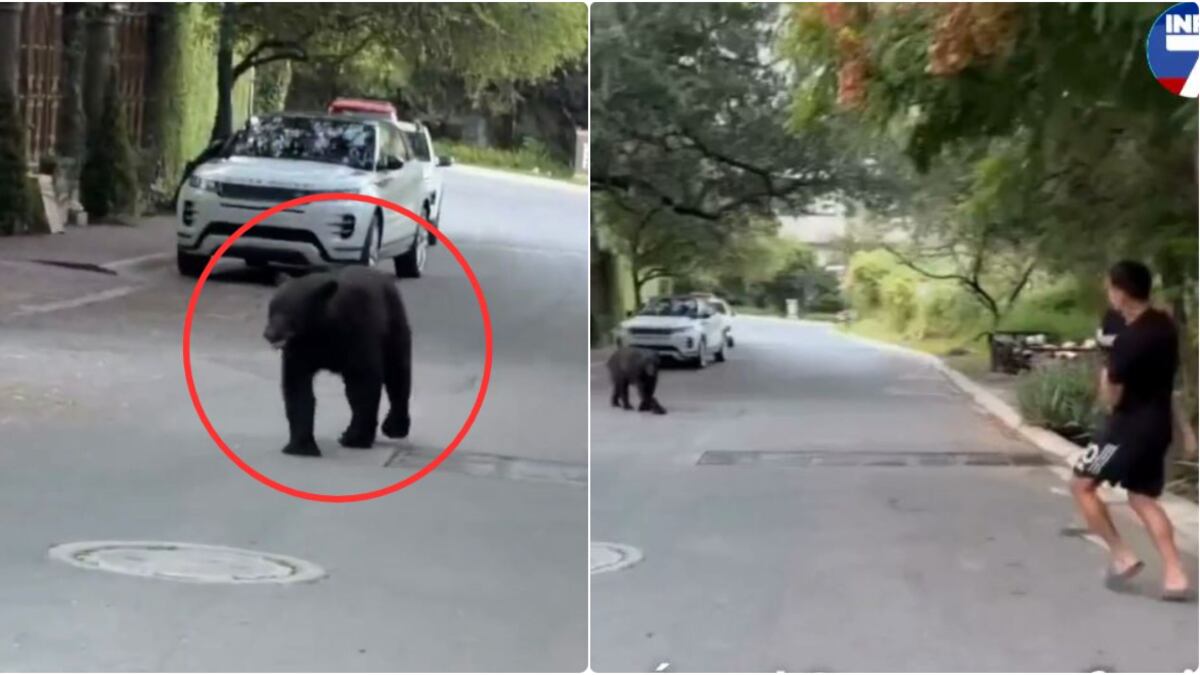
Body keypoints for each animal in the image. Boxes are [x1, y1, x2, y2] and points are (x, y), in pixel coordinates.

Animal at [262, 266, 412, 457]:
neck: (321, 330)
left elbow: (362, 383)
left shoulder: (357, 334)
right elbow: (297, 386)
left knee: (398, 374)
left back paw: (394, 427)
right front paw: (301, 446)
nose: (270, 334)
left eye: (290, 313)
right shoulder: (299, 351)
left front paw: (356, 438)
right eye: (271, 309)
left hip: (394, 327)